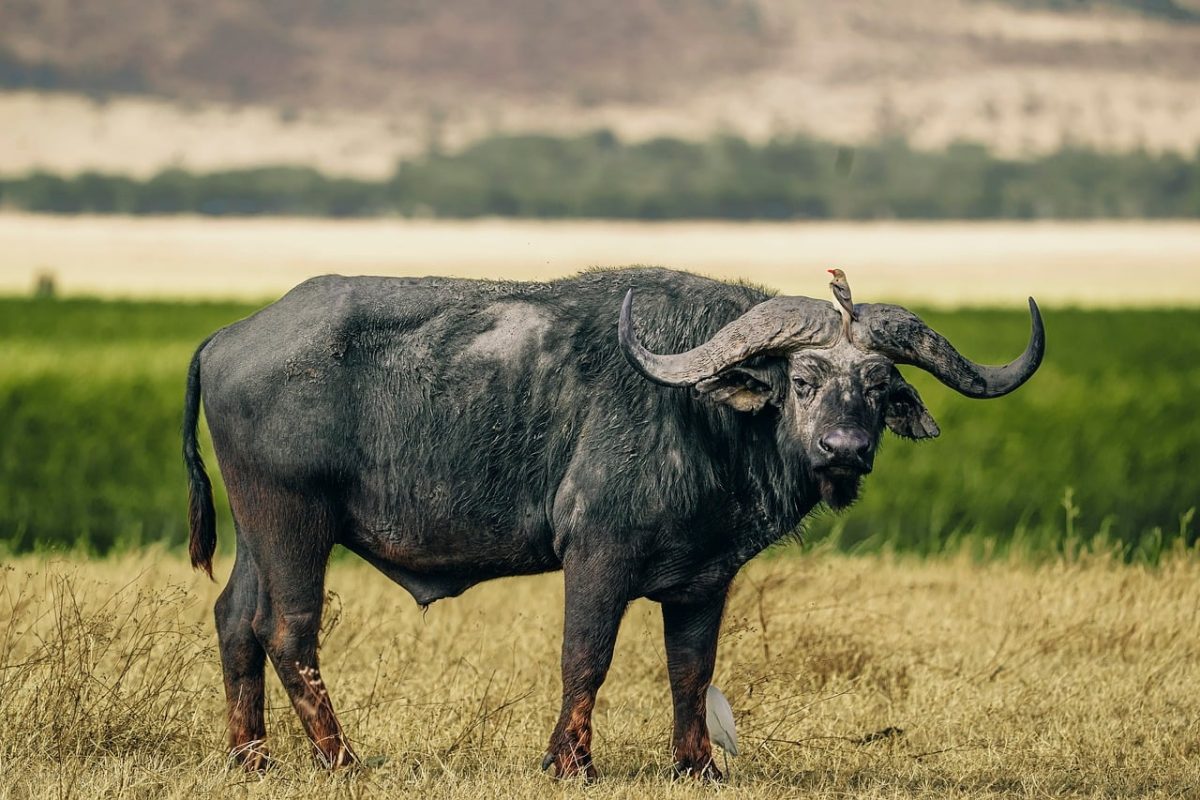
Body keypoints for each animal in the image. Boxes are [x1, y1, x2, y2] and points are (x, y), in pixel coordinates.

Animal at [183, 267, 1043, 779]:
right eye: (802, 381)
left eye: (876, 385)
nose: (846, 449)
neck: (700, 416)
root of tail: (228, 336)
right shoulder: (597, 556)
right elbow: (586, 658)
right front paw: (570, 762)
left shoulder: (704, 580)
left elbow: (691, 670)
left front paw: (697, 766)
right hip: (295, 522)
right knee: (288, 630)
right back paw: (342, 758)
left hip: (259, 533)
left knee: (235, 620)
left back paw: (250, 757)